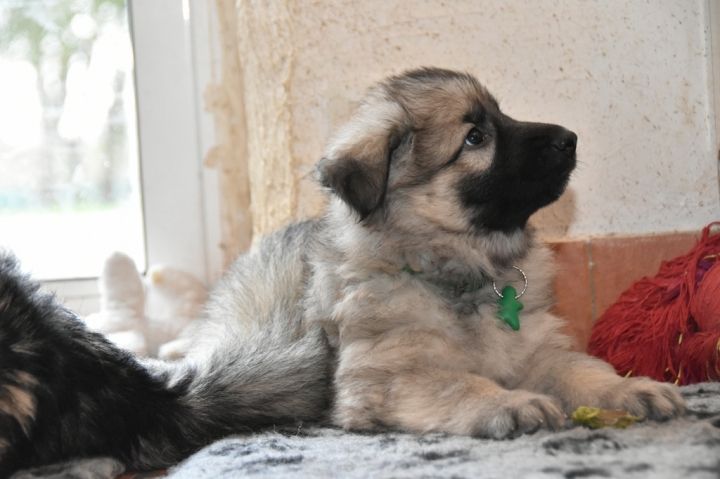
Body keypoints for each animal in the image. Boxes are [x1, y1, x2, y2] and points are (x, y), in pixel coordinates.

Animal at [0, 67, 684, 475]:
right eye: (475, 137)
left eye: (502, 115)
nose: (570, 138)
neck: (458, 271)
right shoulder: (382, 377)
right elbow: (457, 383)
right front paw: (509, 404)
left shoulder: (540, 347)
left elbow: (581, 369)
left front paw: (631, 388)